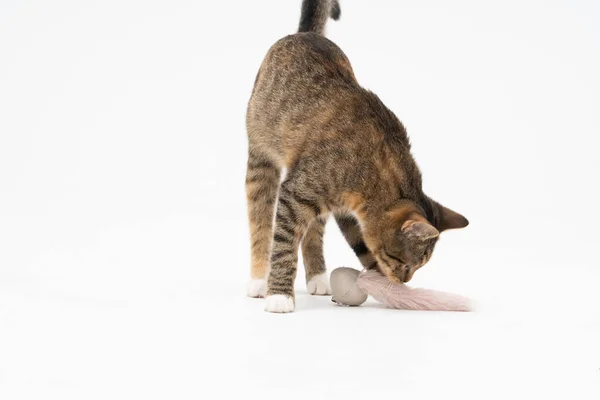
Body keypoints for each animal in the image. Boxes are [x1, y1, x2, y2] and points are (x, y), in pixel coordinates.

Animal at [244, 0, 468, 312]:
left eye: (417, 266)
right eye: (402, 261)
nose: (405, 280)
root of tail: (304, 34)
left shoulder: (344, 210)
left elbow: (359, 243)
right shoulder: (296, 194)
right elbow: (285, 243)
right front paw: (279, 295)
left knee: (313, 230)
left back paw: (318, 277)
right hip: (261, 158)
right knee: (261, 217)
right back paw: (258, 279)